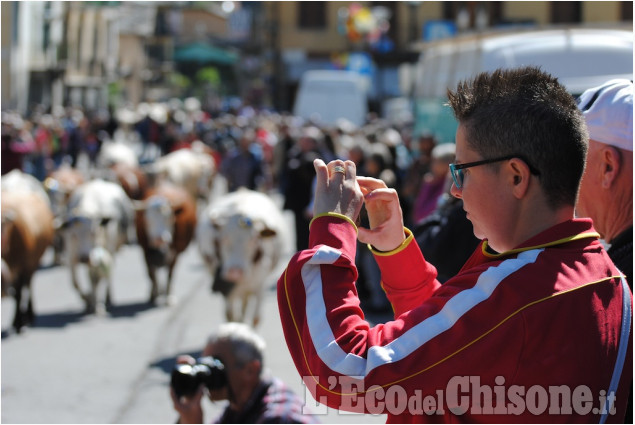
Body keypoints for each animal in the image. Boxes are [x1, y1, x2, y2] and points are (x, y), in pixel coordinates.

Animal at [0, 190, 54, 332]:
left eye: (2, 226)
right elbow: (15, 293)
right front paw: (16, 321)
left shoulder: (23, 265)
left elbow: (19, 293)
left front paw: (19, 323)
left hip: (33, 263)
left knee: (28, 285)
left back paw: (29, 314)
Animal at [62, 177, 134, 314]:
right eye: (73, 234)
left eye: (93, 232)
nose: (84, 258)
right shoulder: (72, 253)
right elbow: (75, 282)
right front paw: (88, 300)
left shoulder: (103, 252)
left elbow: (99, 277)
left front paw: (97, 304)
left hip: (110, 250)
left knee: (106, 274)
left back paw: (107, 298)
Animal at [196, 188, 290, 324]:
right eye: (223, 239)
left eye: (254, 240)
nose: (235, 272)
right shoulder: (227, 290)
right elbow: (230, 316)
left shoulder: (260, 284)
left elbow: (256, 318)